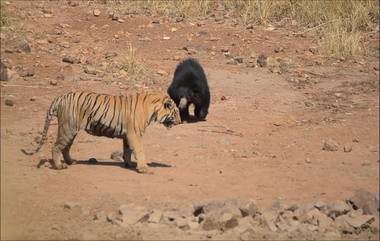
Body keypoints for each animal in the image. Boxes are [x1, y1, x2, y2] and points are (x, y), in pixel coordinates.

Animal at [21, 91, 182, 173]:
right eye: (176, 112)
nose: (180, 122)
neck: (152, 110)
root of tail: (61, 97)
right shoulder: (134, 134)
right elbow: (139, 150)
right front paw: (144, 168)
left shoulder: (127, 136)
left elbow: (127, 151)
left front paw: (129, 164)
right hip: (68, 128)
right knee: (55, 147)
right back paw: (60, 166)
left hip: (71, 130)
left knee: (65, 147)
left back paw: (71, 162)